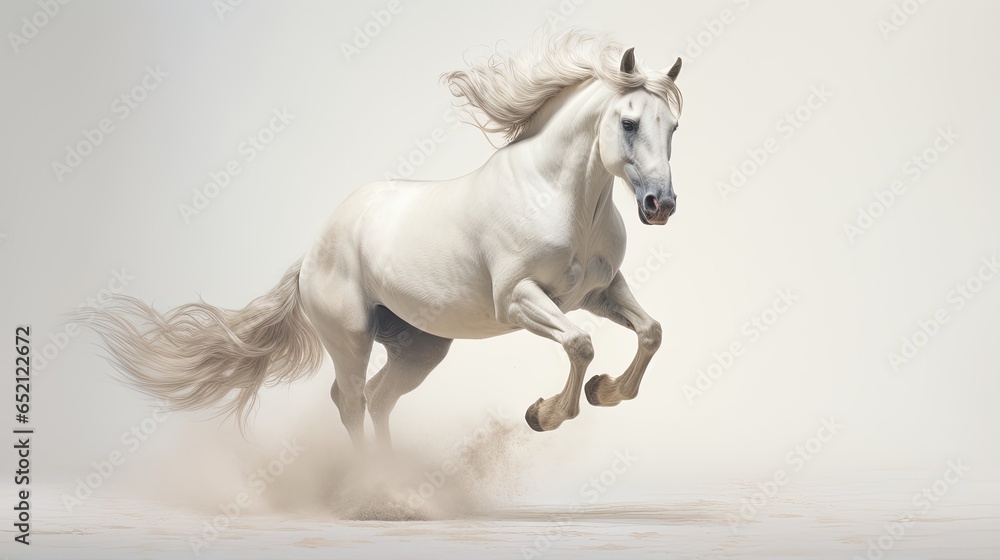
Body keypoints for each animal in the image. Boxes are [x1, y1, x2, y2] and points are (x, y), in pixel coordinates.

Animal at [82, 29, 684, 450]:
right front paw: (545, 414)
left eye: (673, 127)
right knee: (349, 399)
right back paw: (372, 490)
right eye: (629, 123)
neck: (561, 199)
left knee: (377, 400)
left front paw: (604, 391)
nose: (660, 205)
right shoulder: (518, 299)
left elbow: (651, 331)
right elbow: (580, 344)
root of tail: (313, 252)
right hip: (350, 338)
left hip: (420, 347)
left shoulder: (597, 293)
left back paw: (396, 482)